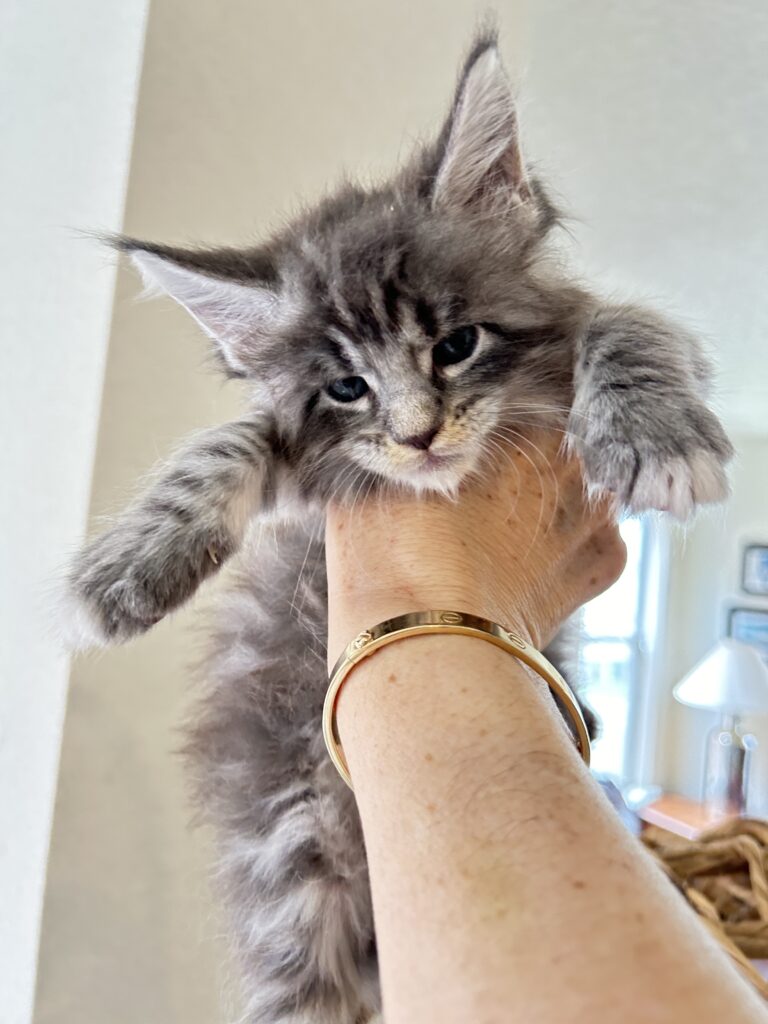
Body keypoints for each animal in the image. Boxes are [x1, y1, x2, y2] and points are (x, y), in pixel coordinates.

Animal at [64, 32, 733, 1024]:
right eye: (347, 388)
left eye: (456, 345)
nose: (418, 435)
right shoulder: (306, 469)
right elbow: (228, 442)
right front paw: (129, 565)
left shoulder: (613, 328)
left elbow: (630, 325)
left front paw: (653, 432)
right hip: (294, 883)